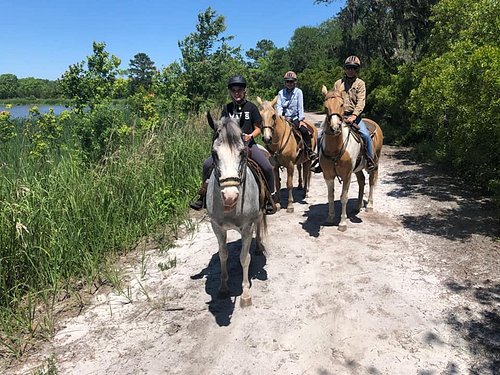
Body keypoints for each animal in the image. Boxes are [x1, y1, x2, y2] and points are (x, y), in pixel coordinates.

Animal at [204, 112, 266, 308]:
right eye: (214, 154)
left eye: (242, 152)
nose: (230, 196)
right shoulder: (217, 227)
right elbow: (223, 255)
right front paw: (223, 288)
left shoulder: (247, 228)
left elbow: (244, 258)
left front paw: (245, 294)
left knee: (259, 224)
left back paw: (259, 246)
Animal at [320, 86, 382, 231]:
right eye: (325, 107)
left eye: (341, 104)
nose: (335, 128)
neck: (335, 149)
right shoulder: (328, 175)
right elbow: (330, 196)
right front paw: (330, 218)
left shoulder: (347, 175)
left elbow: (344, 197)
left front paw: (342, 223)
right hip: (357, 168)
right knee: (361, 181)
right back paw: (357, 206)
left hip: (375, 162)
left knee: (371, 181)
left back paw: (369, 206)